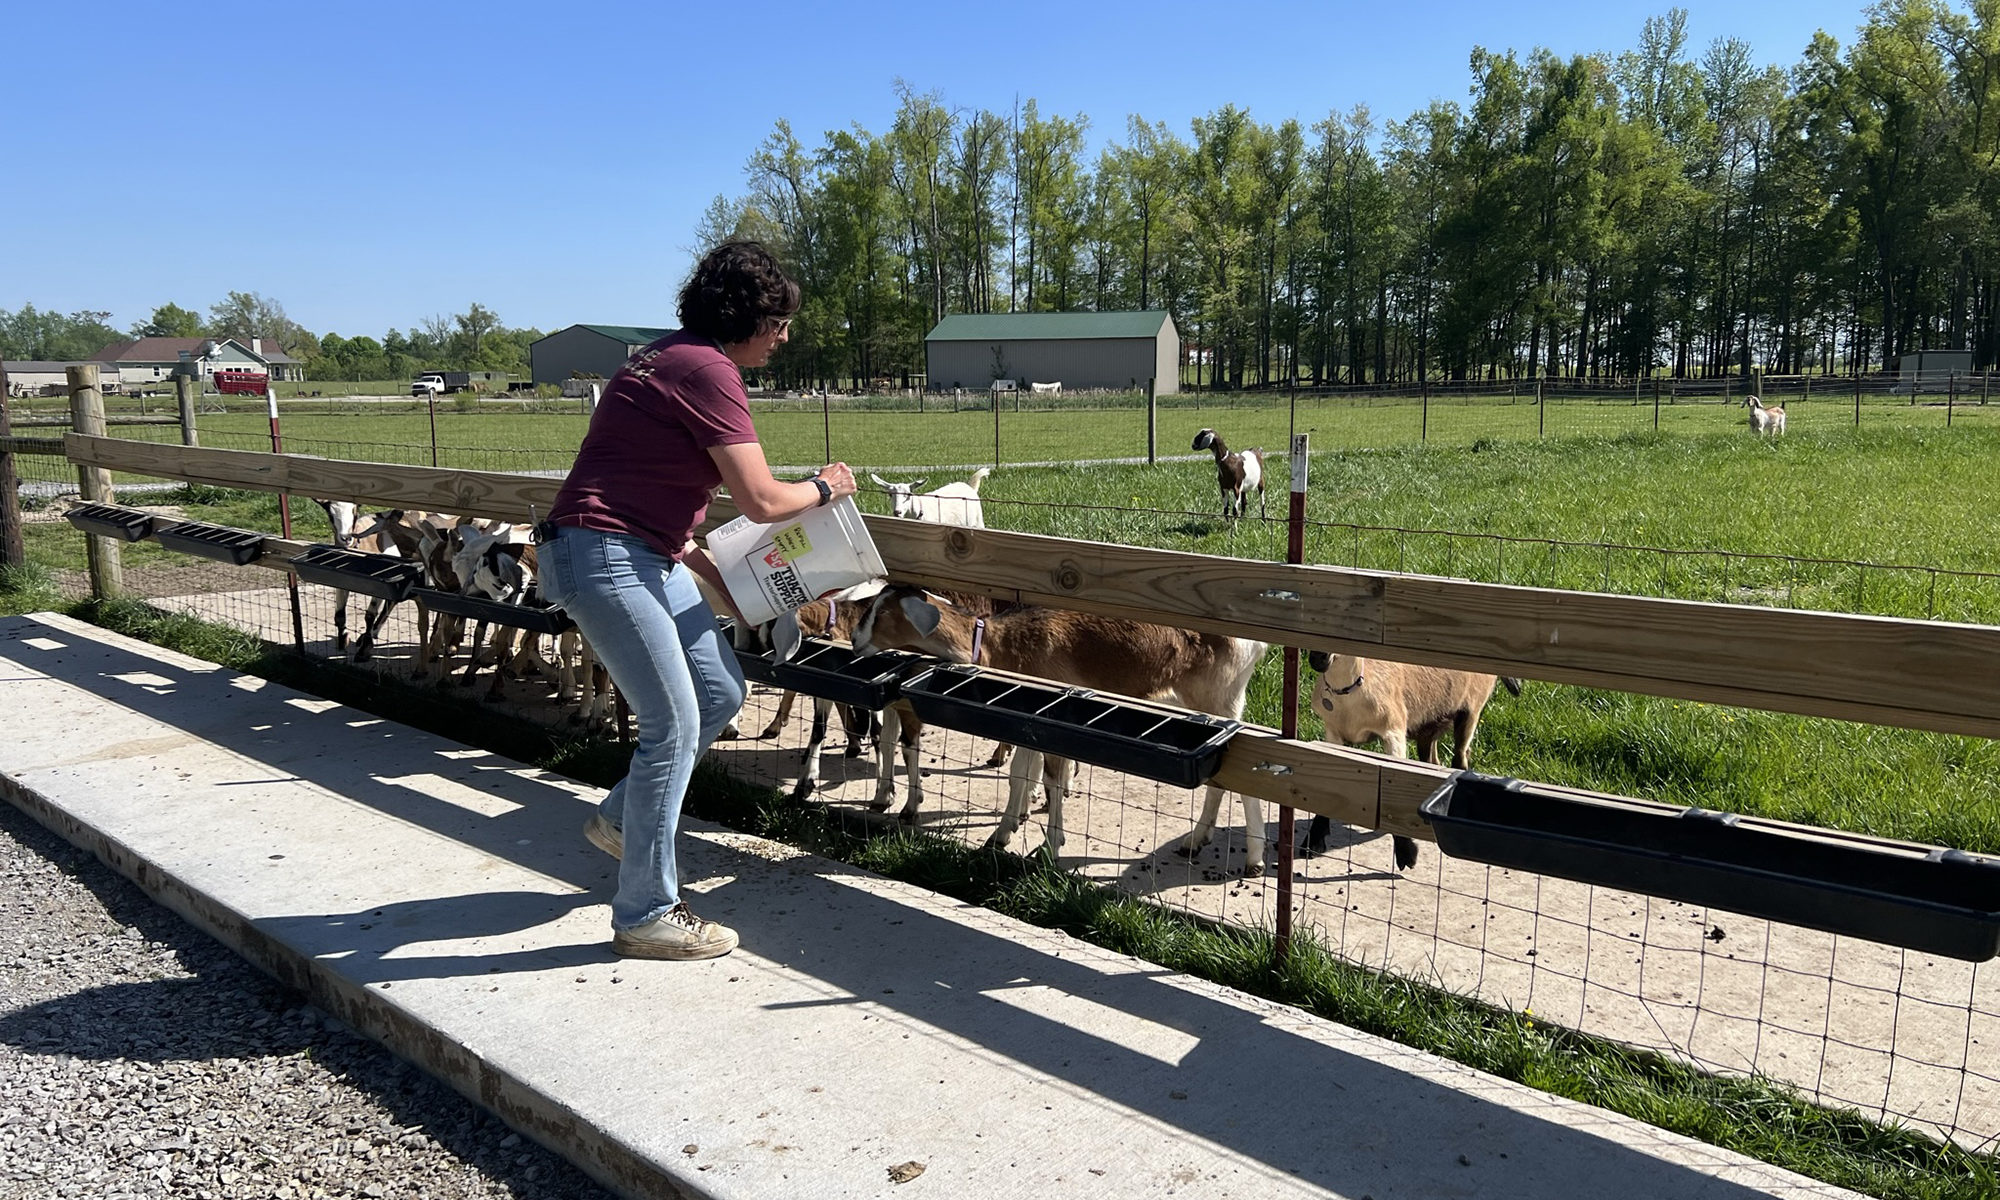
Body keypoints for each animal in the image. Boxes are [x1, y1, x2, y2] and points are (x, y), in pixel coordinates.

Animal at [856, 584, 1264, 868]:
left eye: (881, 613)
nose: (857, 640)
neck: (998, 646)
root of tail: (1252, 642)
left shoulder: (1051, 726)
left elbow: (1051, 778)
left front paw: (1050, 847)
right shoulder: (1021, 722)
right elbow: (1019, 775)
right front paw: (1002, 834)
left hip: (1220, 700)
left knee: (1244, 776)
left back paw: (1252, 857)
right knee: (1222, 780)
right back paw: (1197, 840)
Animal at [1304, 652, 1520, 868]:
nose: (1318, 659)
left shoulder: (1393, 730)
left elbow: (1393, 778)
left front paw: (1405, 853)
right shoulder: (1333, 733)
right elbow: (1323, 782)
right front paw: (1314, 841)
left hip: (1471, 710)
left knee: (1460, 758)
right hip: (1430, 721)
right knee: (1432, 761)